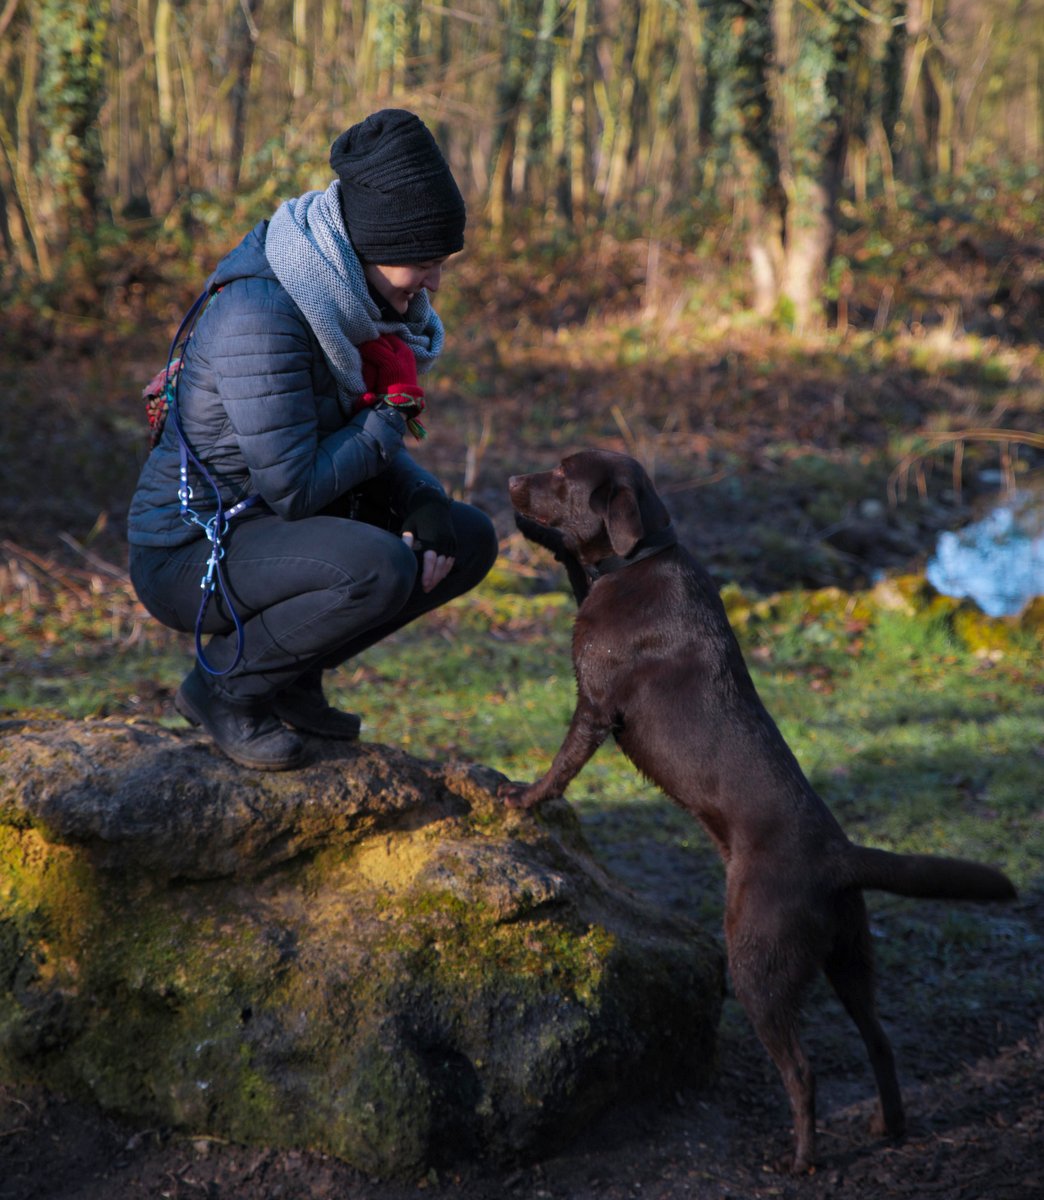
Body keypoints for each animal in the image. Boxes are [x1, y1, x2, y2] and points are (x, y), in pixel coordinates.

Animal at [501, 448, 1017, 1171]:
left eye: (561, 475)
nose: (512, 481)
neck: (637, 559)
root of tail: (841, 858)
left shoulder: (596, 706)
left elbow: (560, 767)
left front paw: (523, 798)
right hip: (849, 959)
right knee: (880, 1040)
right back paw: (887, 1127)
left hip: (757, 962)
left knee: (802, 1069)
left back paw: (801, 1160)